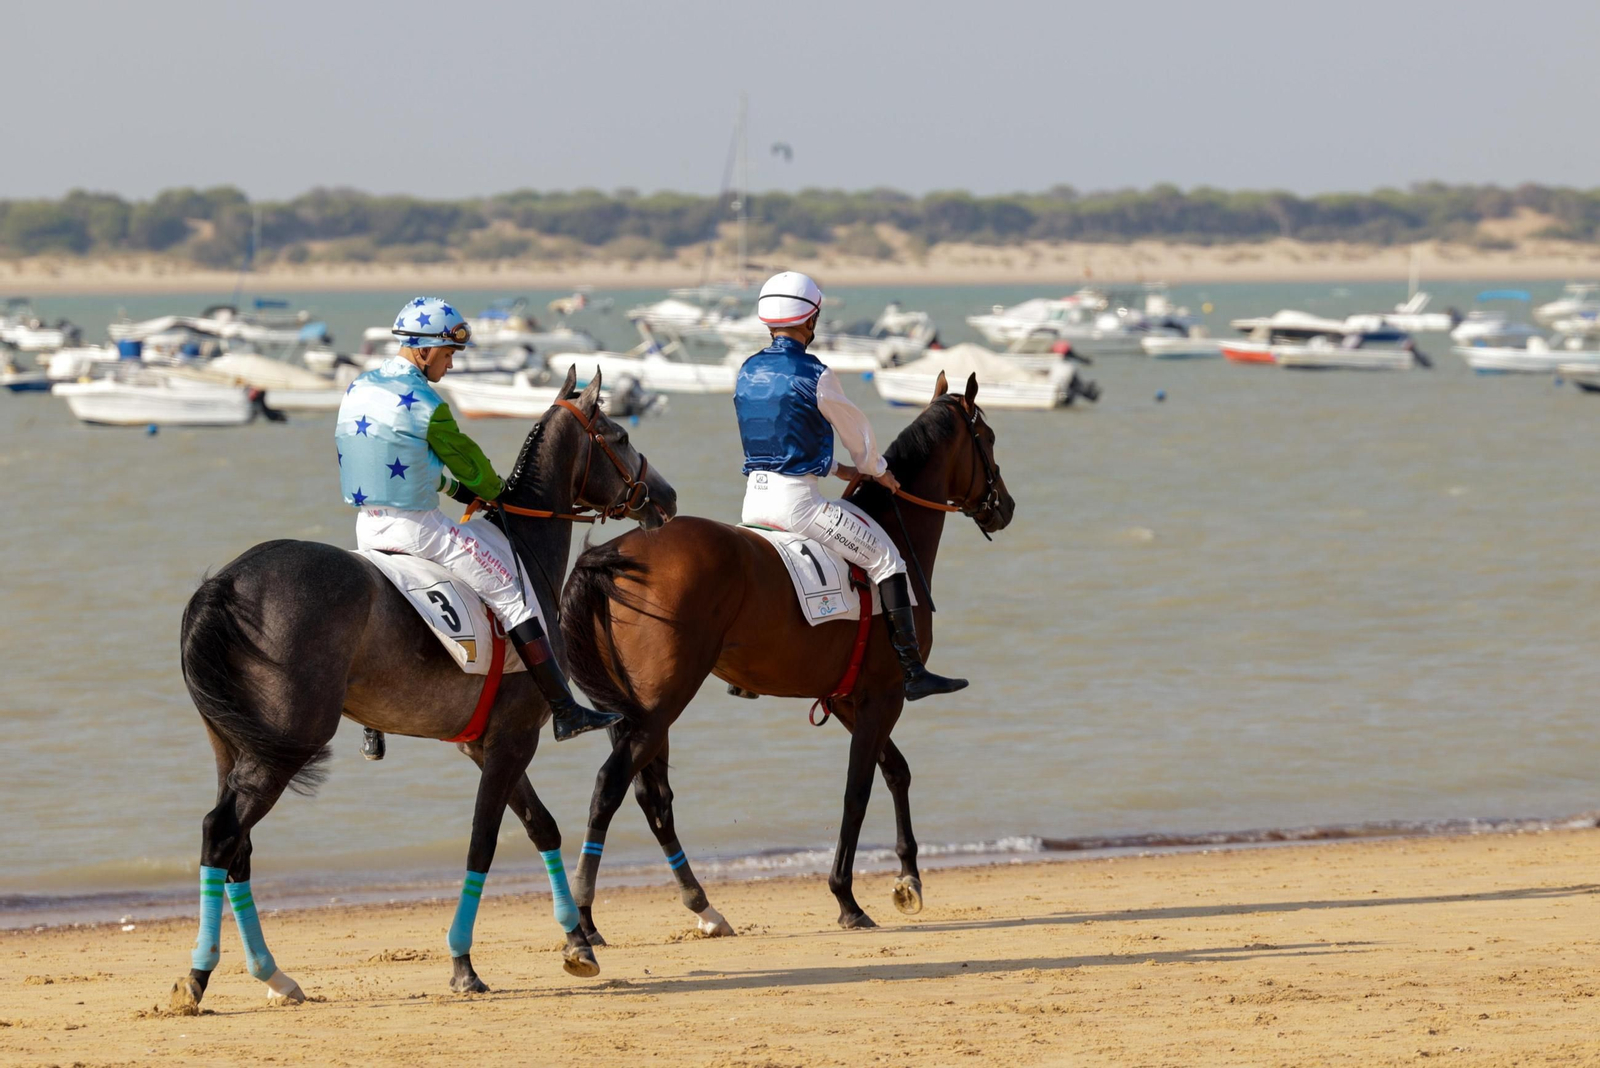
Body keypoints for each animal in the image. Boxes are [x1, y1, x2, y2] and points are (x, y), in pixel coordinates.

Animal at [169, 368, 675, 1012]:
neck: (524, 547)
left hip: (233, 746)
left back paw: (270, 975)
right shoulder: (511, 742)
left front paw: (576, 942)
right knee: (223, 832)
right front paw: (463, 963)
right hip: (280, 748)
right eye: (621, 434)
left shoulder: (486, 745)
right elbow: (483, 841)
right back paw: (204, 973)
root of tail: (228, 582)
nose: (666, 497)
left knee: (235, 848)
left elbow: (542, 827)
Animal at [558, 371, 1014, 940]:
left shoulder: (847, 699)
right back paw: (586, 919)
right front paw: (847, 897)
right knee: (612, 786)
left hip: (632, 709)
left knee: (650, 796)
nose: (1006, 506)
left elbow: (896, 771)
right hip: (660, 705)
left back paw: (697, 909)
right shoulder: (884, 696)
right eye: (988, 438)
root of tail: (611, 553)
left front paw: (909, 877)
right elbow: (858, 790)